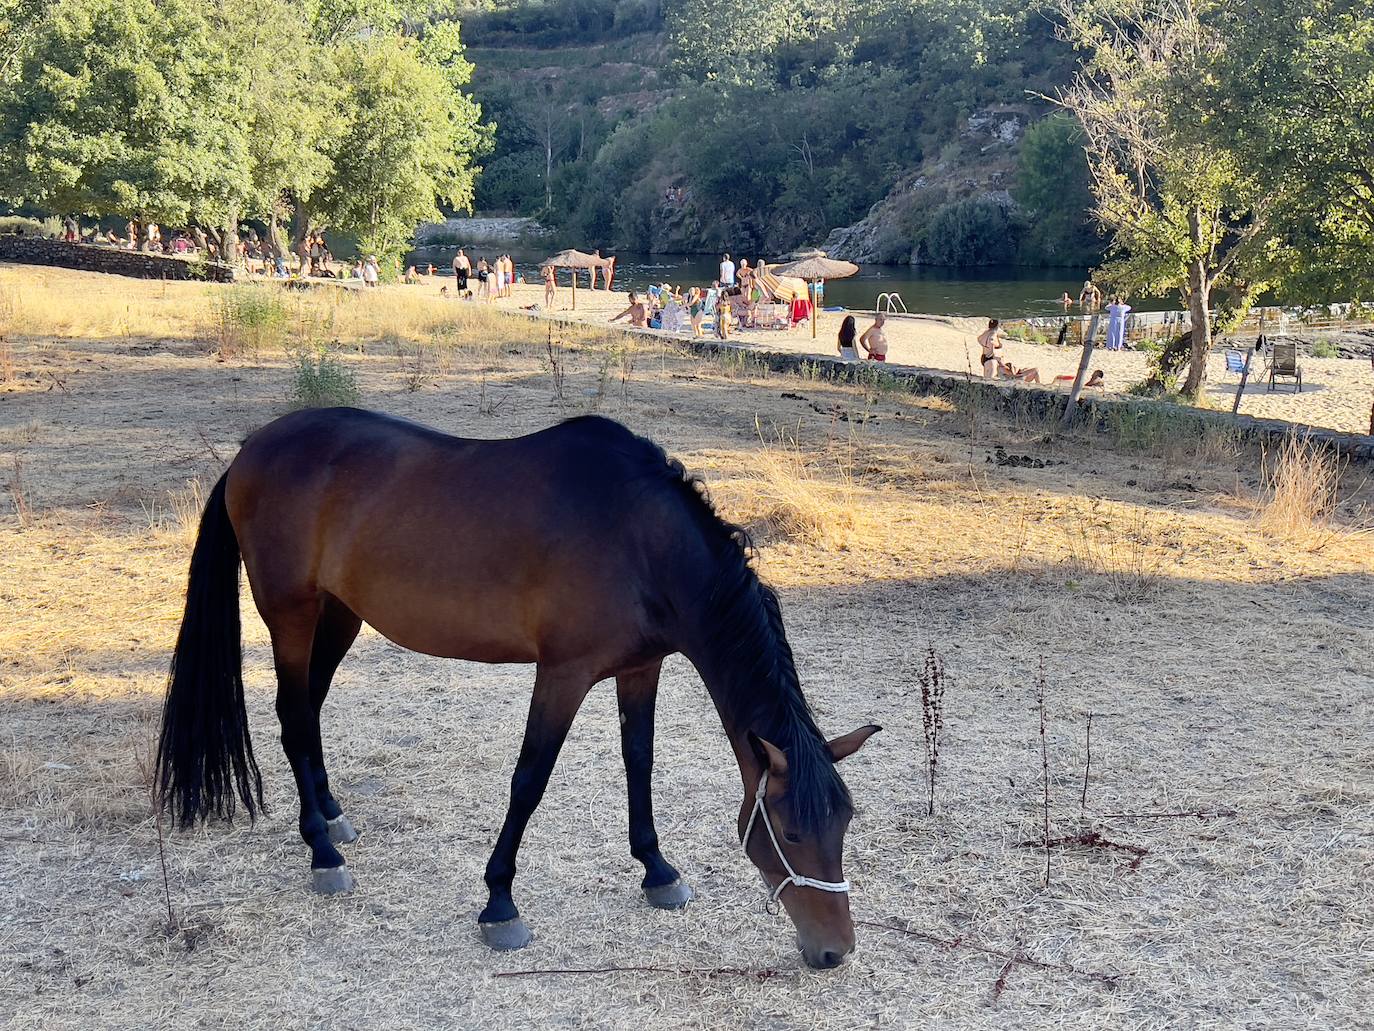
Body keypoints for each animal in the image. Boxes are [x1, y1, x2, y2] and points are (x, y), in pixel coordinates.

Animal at [153, 409, 879, 967]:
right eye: (790, 833)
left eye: (843, 823)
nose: (835, 951)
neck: (639, 538)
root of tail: (250, 451)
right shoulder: (562, 673)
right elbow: (530, 779)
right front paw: (499, 901)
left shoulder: (641, 669)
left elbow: (638, 762)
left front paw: (657, 869)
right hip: (292, 615)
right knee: (294, 717)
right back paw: (323, 853)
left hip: (339, 614)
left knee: (310, 712)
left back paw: (332, 813)